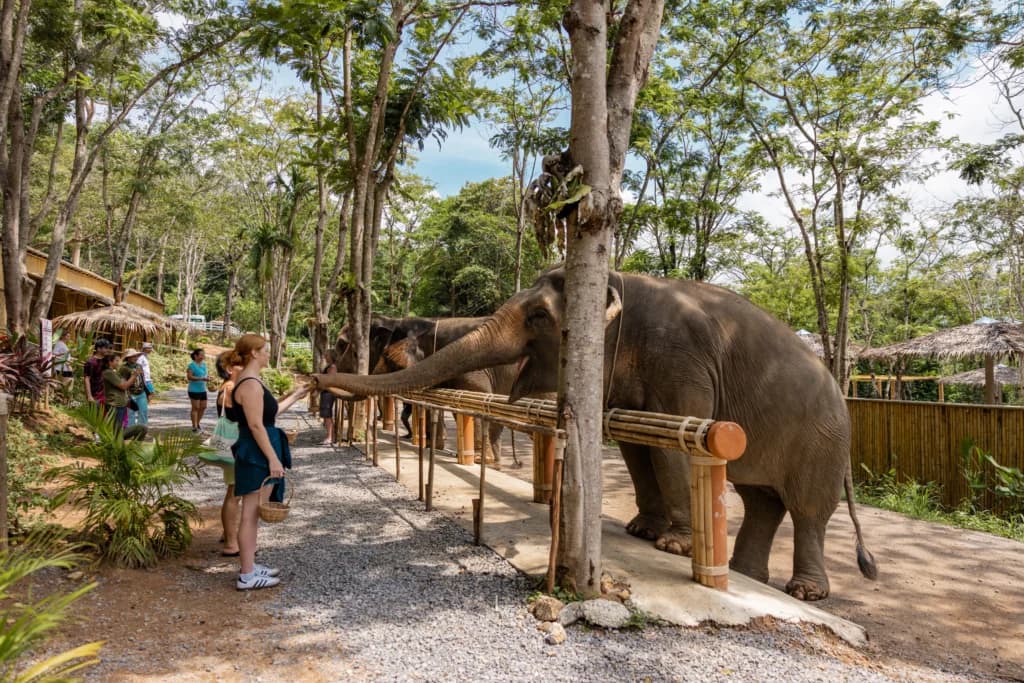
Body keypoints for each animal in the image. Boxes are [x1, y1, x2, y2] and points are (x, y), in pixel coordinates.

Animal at [334, 316, 522, 467]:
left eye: (354, 351)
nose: (345, 440)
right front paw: (434, 446)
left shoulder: (472, 367)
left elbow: (471, 404)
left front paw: (477, 459)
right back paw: (496, 464)